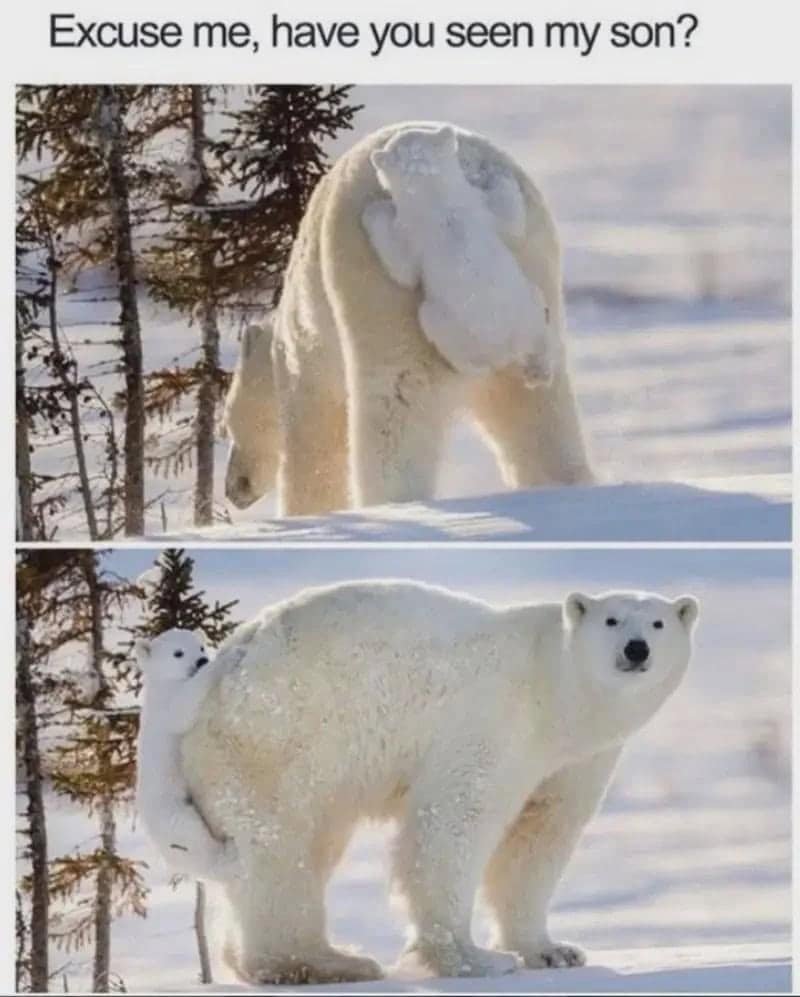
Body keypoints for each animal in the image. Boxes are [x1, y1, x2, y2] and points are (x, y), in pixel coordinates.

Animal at [135, 629, 238, 882]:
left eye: (200, 646)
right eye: (178, 653)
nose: (201, 661)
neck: (160, 685)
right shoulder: (166, 705)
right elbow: (184, 706)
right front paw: (229, 656)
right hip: (172, 811)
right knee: (193, 837)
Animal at [179, 581, 698, 984]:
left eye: (658, 623)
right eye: (611, 620)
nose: (636, 650)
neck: (556, 691)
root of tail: (220, 669)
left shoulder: (576, 759)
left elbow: (539, 838)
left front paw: (552, 951)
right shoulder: (493, 720)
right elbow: (455, 823)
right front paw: (474, 959)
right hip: (279, 740)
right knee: (282, 849)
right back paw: (322, 962)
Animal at [362, 124, 557, 385]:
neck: (438, 201)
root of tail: (508, 348)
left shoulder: (413, 232)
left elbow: (403, 270)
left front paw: (372, 211)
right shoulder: (479, 206)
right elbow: (511, 222)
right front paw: (498, 175)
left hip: (451, 326)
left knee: (437, 328)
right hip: (527, 309)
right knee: (539, 319)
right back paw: (539, 372)